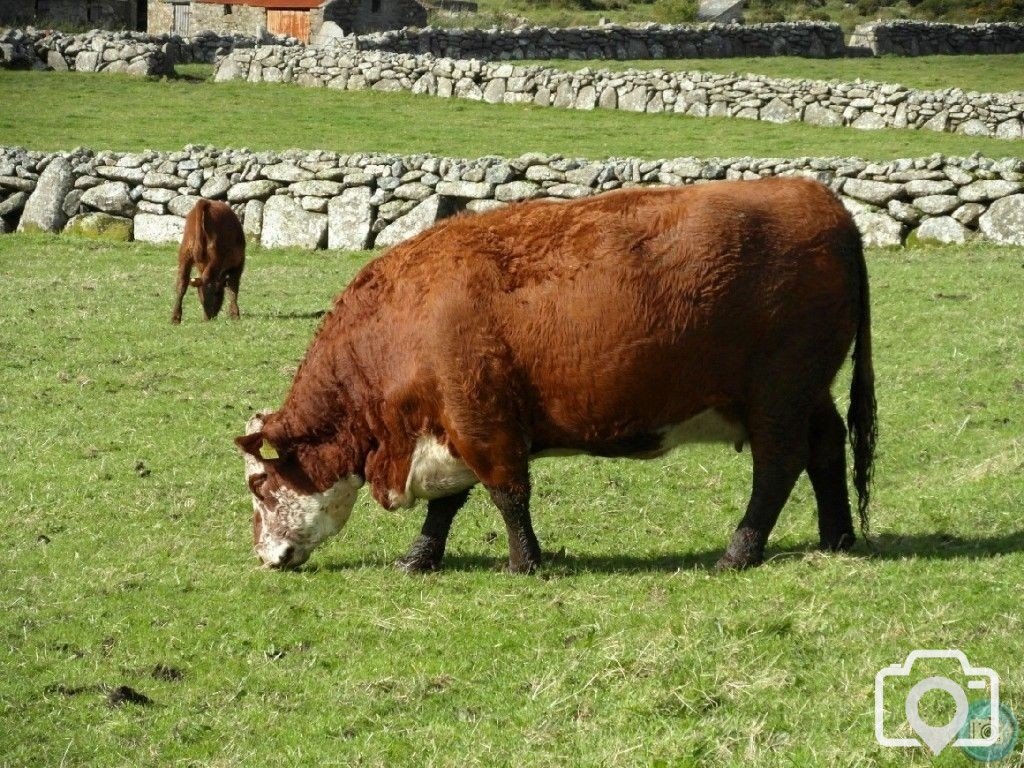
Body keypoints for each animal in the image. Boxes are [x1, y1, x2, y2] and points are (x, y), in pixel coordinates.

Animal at [235, 179, 876, 573]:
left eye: (259, 487)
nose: (264, 556)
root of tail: (824, 201)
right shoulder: (456, 425)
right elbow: (451, 503)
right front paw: (419, 558)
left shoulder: (481, 421)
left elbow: (506, 494)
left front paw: (525, 563)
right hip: (808, 393)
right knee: (826, 447)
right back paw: (837, 537)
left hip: (778, 395)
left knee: (778, 467)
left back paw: (738, 553)